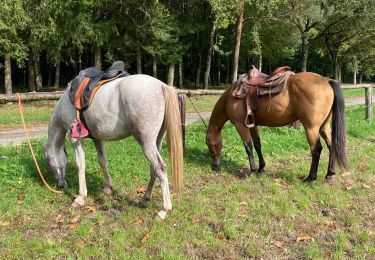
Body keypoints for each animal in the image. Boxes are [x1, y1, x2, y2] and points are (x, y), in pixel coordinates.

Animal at [44, 74, 184, 218]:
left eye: (48, 160)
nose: (60, 185)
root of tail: (161, 86)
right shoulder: (98, 138)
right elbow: (103, 161)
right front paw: (107, 188)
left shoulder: (75, 139)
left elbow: (80, 165)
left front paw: (81, 197)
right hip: (157, 141)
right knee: (154, 168)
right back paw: (145, 199)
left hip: (146, 142)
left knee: (160, 168)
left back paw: (164, 209)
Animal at [206, 71, 350, 183]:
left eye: (209, 144)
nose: (214, 165)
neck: (230, 97)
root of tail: (327, 81)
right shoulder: (253, 125)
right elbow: (257, 145)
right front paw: (261, 168)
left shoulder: (240, 125)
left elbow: (248, 147)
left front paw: (252, 171)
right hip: (324, 126)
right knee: (331, 145)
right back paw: (329, 175)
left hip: (311, 128)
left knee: (316, 149)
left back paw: (310, 178)